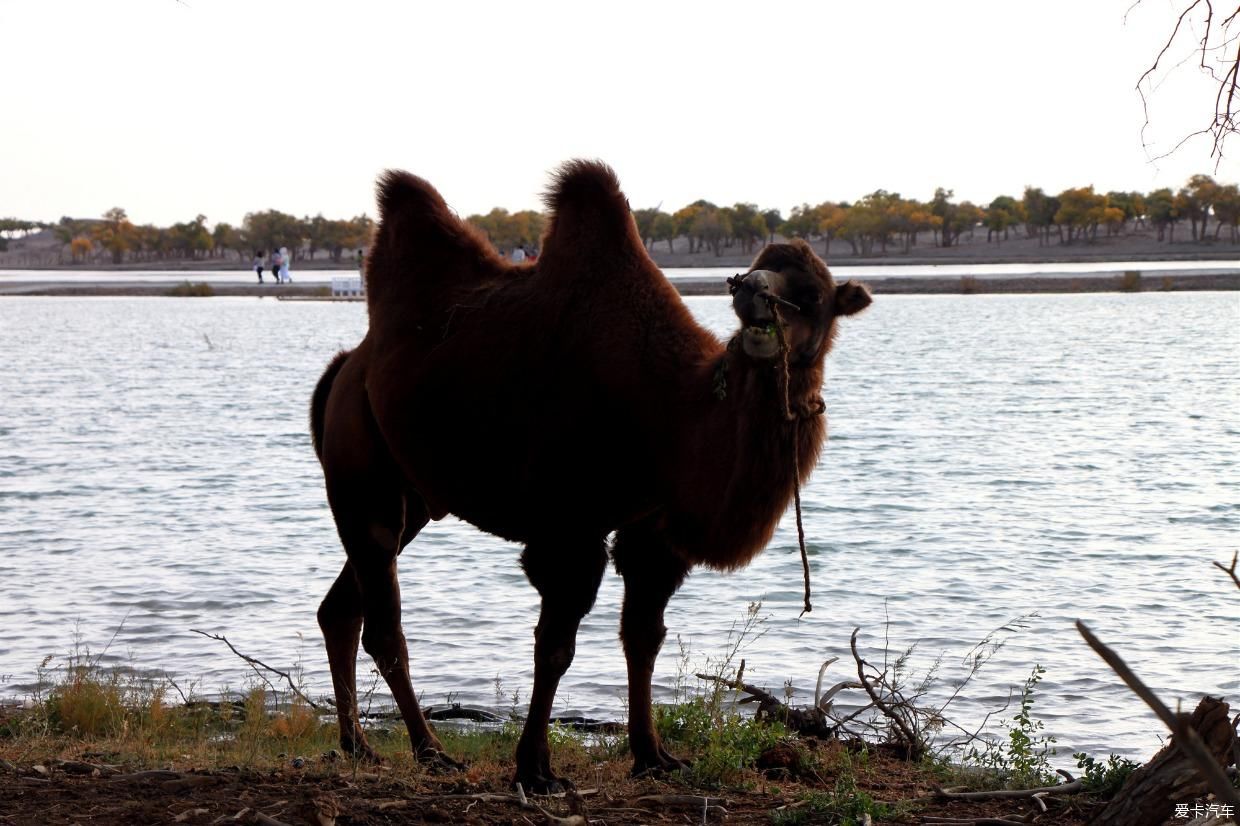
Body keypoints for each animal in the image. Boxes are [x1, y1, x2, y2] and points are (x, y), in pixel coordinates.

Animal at [310, 161, 872, 793]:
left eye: (813, 295)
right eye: (750, 276)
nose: (751, 290)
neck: (673, 415)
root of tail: (345, 368)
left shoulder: (652, 530)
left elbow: (643, 639)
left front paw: (653, 755)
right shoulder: (567, 527)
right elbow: (556, 647)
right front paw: (535, 769)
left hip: (414, 498)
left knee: (341, 609)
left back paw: (358, 745)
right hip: (365, 476)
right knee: (383, 622)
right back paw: (430, 750)